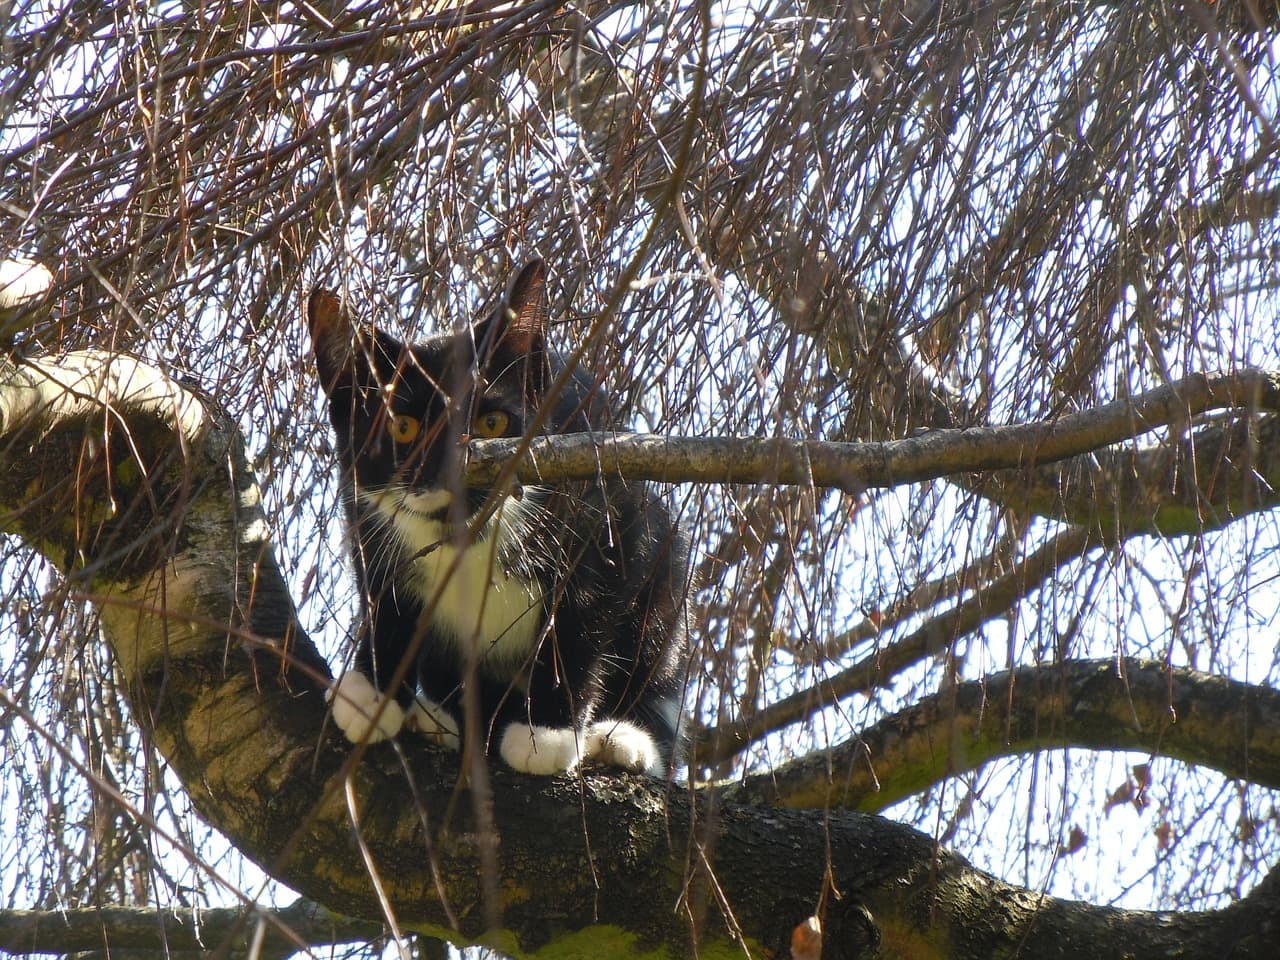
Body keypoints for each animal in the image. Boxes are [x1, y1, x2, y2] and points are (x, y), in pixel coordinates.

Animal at [304, 261, 691, 773]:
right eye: (402, 428)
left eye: (492, 424)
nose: (453, 471)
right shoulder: (363, 513)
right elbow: (383, 593)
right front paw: (373, 691)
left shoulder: (606, 509)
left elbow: (582, 619)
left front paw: (546, 732)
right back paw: (441, 716)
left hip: (663, 572)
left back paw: (623, 738)